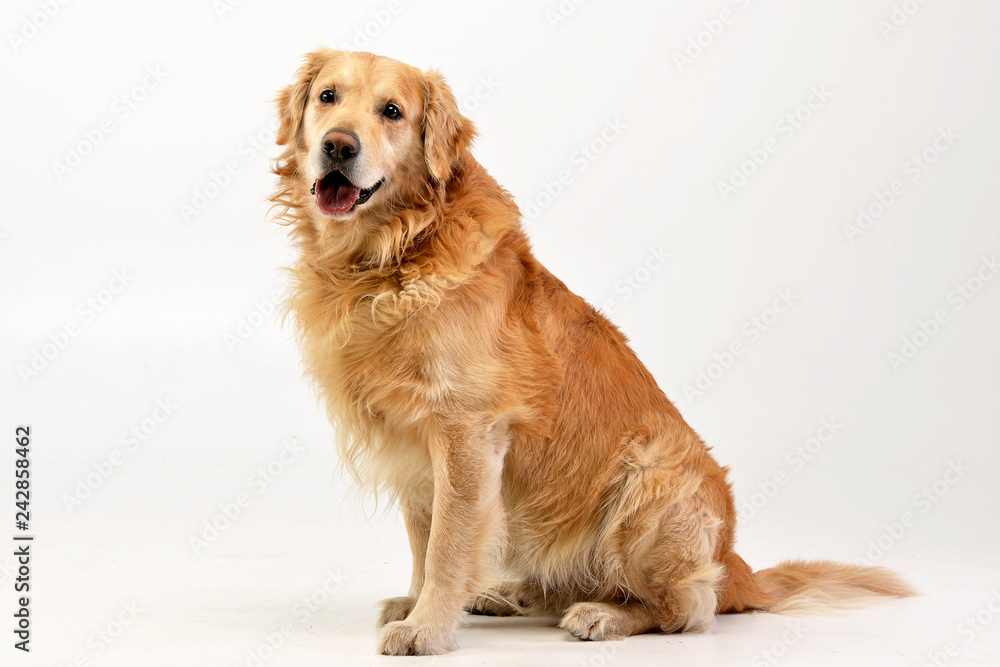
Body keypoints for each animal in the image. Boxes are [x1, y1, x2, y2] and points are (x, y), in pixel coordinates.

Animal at [272, 49, 916, 656]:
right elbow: (422, 537)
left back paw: (604, 615)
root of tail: (740, 567)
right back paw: (506, 595)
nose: (338, 146)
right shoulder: (412, 443)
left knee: (687, 608)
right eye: (328, 97)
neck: (392, 253)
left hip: (648, 485)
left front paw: (425, 627)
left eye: (392, 111)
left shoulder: (466, 431)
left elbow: (448, 546)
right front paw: (415, 603)